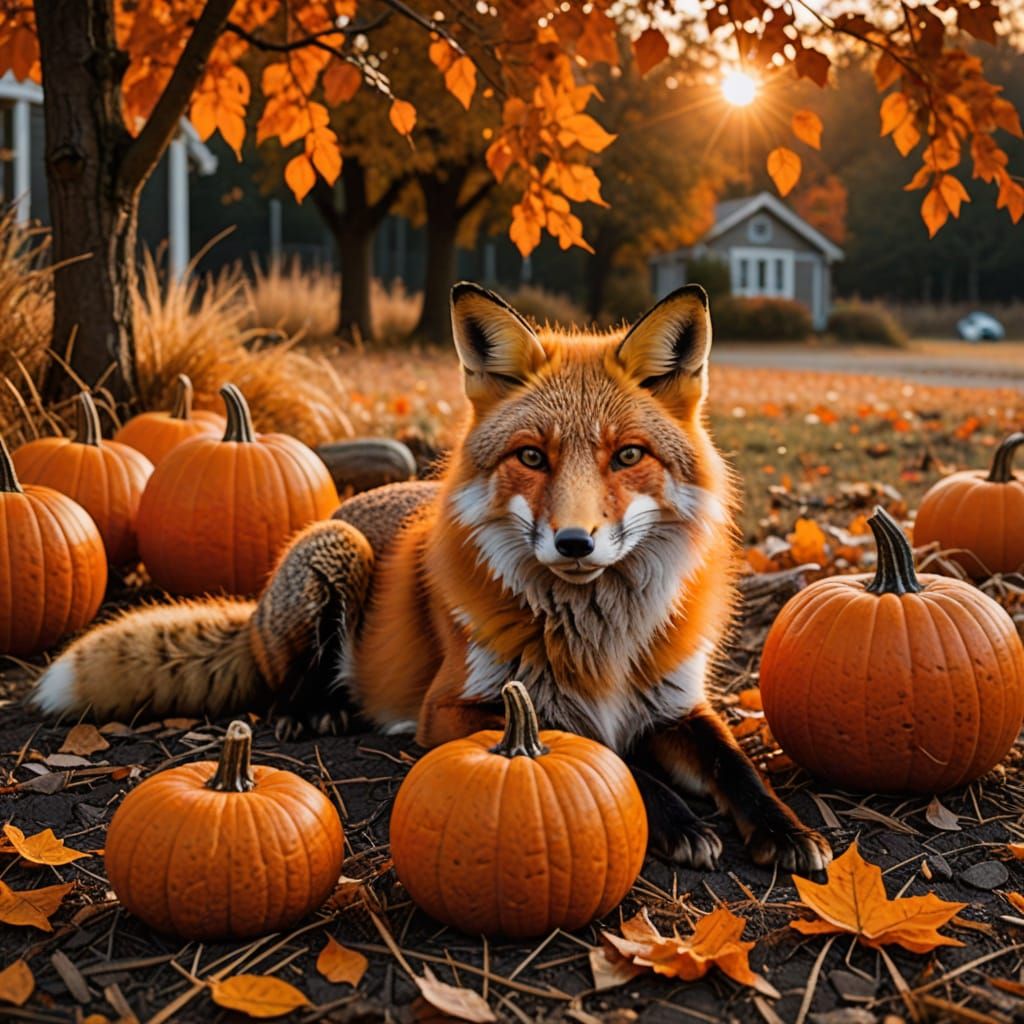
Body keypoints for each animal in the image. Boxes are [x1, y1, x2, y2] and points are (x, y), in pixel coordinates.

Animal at [33, 282, 831, 874]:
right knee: (281, 681)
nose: (574, 543)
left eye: (628, 455)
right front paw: (678, 819)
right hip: (336, 552)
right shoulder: (452, 711)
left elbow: (738, 767)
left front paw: (784, 830)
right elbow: (603, 753)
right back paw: (312, 709)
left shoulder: (673, 705)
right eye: (532, 457)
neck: (597, 643)